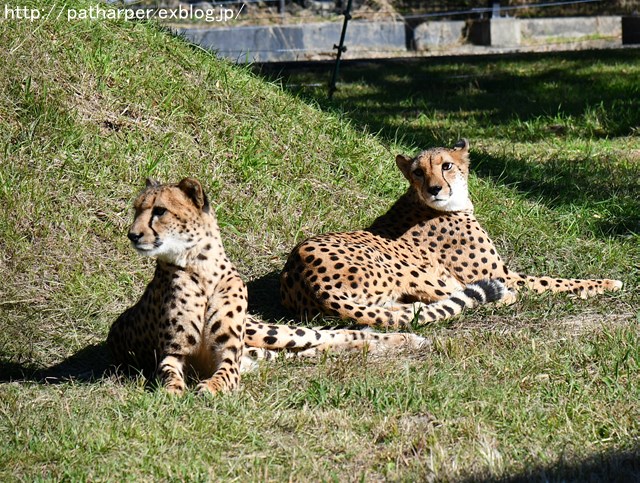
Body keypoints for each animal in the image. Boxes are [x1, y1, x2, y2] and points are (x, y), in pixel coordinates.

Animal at [107, 179, 424, 398]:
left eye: (159, 211)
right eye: (136, 210)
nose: (133, 234)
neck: (200, 268)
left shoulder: (229, 354)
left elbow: (224, 374)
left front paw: (210, 388)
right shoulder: (173, 352)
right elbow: (168, 374)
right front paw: (173, 391)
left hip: (264, 334)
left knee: (331, 333)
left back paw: (408, 339)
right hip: (264, 351)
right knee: (321, 347)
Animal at [280, 140, 620, 328]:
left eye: (446, 166)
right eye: (418, 172)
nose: (434, 188)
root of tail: (306, 279)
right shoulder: (501, 275)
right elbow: (553, 281)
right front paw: (603, 284)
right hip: (410, 268)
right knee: (458, 298)